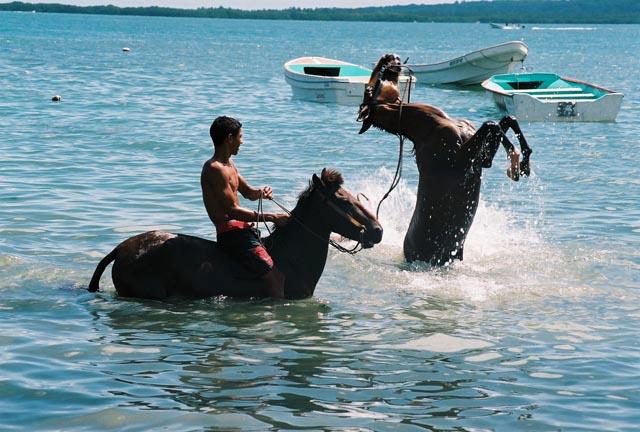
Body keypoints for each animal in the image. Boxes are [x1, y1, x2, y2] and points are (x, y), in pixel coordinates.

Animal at [358, 52, 532, 264]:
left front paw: (524, 163)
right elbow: (492, 125)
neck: (429, 124)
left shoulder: (482, 161)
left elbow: (507, 120)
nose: (389, 57)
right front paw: (515, 162)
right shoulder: (460, 162)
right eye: (369, 88)